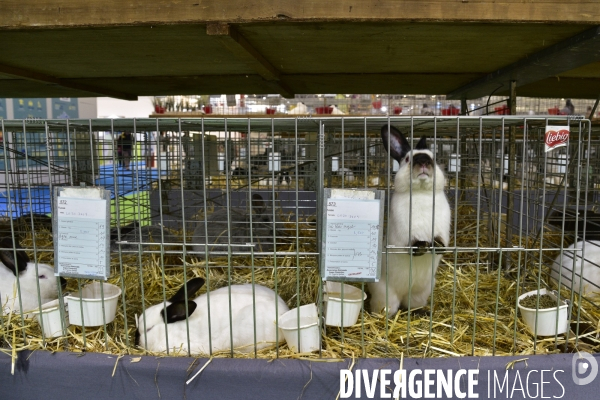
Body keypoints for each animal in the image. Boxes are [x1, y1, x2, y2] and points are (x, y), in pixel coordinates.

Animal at [370, 123, 450, 318]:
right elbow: (410, 245)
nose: (423, 161)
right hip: (385, 296)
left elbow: (441, 241)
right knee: (387, 310)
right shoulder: (403, 234)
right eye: (407, 159)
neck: (421, 194)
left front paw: (435, 245)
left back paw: (422, 313)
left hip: (422, 292)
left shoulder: (442, 229)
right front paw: (421, 246)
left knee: (410, 307)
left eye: (433, 157)